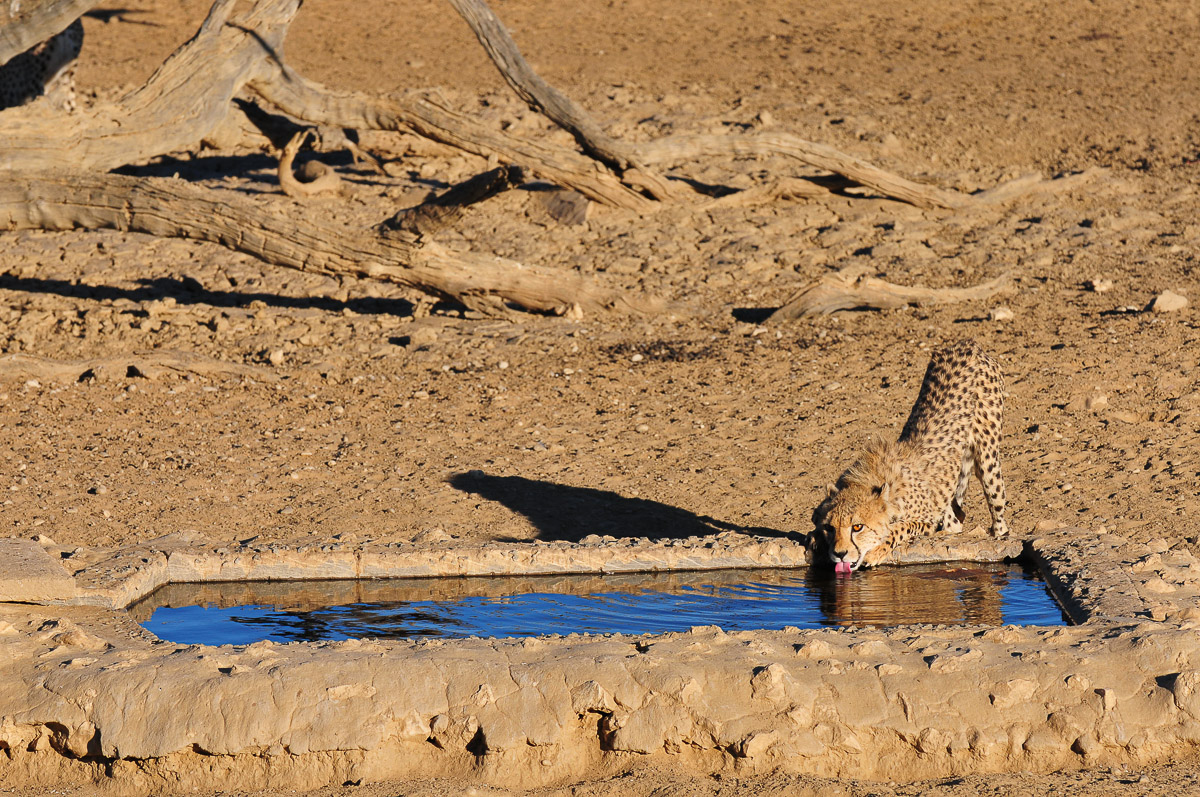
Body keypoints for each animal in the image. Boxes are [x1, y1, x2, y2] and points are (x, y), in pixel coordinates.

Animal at [812, 340, 1009, 573]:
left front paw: (877, 550)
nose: (839, 554)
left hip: (987, 456)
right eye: (830, 527)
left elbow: (900, 527)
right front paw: (814, 539)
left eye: (857, 527)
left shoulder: (927, 520)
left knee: (997, 509)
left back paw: (1000, 534)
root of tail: (966, 343)